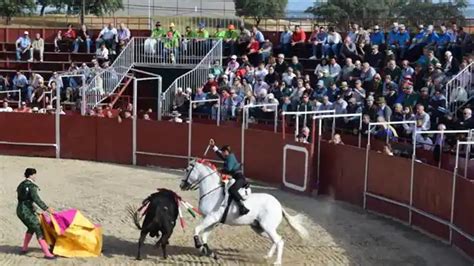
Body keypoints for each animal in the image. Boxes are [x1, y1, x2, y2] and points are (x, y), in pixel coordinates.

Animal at [180, 159, 310, 264]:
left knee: (279, 241)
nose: (181, 185)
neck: (212, 192)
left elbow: (197, 230)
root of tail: (278, 205)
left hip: (267, 227)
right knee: (276, 240)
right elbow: (204, 236)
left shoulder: (211, 218)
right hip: (259, 228)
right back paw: (267, 257)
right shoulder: (211, 221)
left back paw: (276, 262)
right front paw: (210, 253)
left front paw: (198, 245)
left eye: (187, 170)